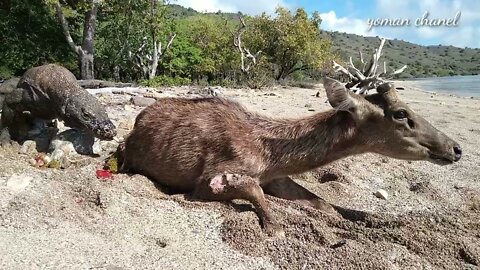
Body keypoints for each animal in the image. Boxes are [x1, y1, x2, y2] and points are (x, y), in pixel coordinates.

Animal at [116, 77, 462, 236]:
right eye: (401, 114)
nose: (457, 149)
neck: (270, 157)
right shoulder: (208, 177)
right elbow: (251, 189)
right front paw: (275, 228)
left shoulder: (277, 177)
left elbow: (323, 203)